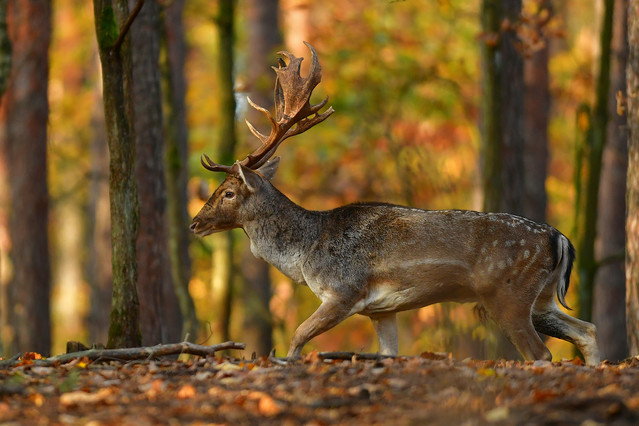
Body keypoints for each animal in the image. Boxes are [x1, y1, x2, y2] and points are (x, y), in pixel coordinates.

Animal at [191, 41, 600, 364]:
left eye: (228, 192)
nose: (195, 223)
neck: (306, 254)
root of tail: (560, 239)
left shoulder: (344, 290)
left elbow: (297, 337)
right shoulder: (381, 311)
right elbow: (389, 353)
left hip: (507, 294)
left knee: (540, 353)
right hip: (542, 299)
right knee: (588, 330)